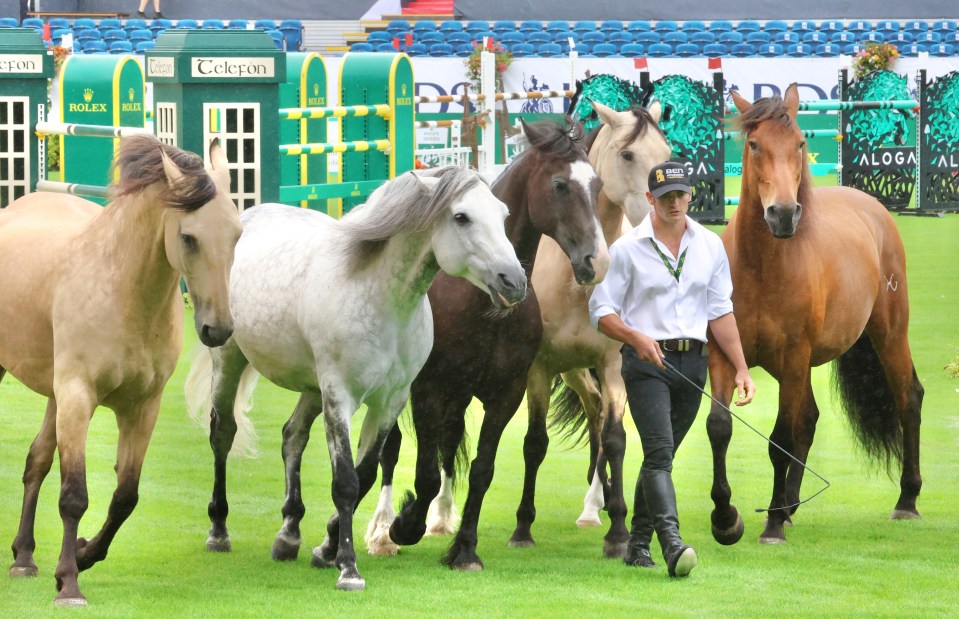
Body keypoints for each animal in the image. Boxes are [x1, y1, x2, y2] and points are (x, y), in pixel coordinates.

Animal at [0, 136, 240, 604]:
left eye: (237, 234)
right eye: (189, 237)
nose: (217, 329)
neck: (120, 289)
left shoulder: (141, 407)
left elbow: (125, 496)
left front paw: (81, 555)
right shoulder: (78, 397)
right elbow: (74, 496)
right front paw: (69, 584)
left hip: (55, 397)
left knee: (37, 461)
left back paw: (24, 556)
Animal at [184, 166, 528, 592]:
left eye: (503, 214)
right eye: (462, 217)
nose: (514, 281)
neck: (380, 298)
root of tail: (247, 217)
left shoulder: (389, 401)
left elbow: (365, 475)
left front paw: (326, 550)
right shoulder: (341, 397)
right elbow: (345, 481)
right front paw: (348, 568)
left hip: (311, 388)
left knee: (292, 436)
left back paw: (288, 536)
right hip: (230, 361)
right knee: (223, 433)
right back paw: (219, 531)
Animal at [364, 116, 612, 568]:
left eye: (597, 185)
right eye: (559, 185)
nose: (596, 262)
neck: (481, 300)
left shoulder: (505, 394)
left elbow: (480, 469)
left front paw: (464, 548)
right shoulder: (427, 391)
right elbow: (423, 473)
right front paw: (403, 525)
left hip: (459, 395)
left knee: (448, 445)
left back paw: (442, 517)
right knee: (390, 450)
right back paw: (383, 529)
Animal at [708, 85, 928, 544]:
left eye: (799, 143)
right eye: (754, 145)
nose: (782, 214)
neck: (761, 267)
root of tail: (870, 206)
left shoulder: (794, 356)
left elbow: (780, 439)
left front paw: (771, 526)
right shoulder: (723, 354)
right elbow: (720, 426)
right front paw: (724, 517)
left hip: (888, 334)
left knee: (908, 399)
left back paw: (906, 500)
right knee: (808, 418)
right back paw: (789, 505)